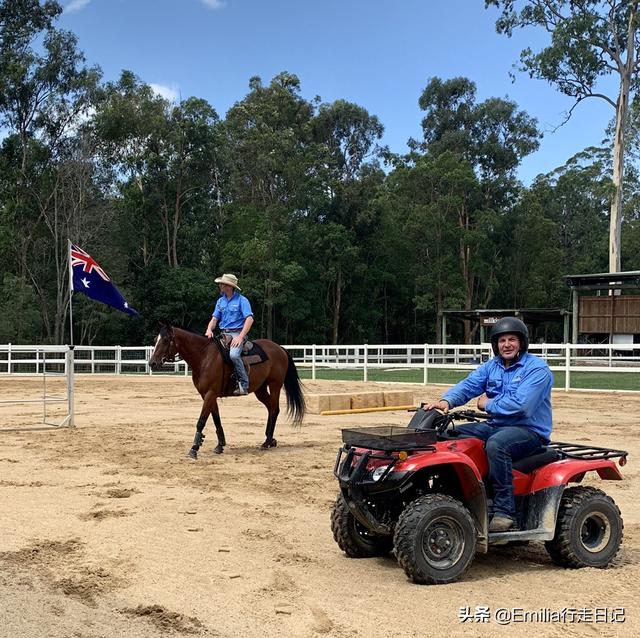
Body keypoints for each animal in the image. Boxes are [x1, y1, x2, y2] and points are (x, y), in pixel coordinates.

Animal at [149, 322, 304, 458]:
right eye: (155, 339)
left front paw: (194, 448)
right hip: (260, 389)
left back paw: (267, 442)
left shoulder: (210, 394)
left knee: (274, 409)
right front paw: (220, 445)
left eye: (166, 339)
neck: (204, 357)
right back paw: (270, 440)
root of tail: (280, 348)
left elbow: (201, 421)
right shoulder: (207, 395)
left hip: (275, 385)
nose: (152, 363)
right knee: (271, 408)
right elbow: (216, 419)